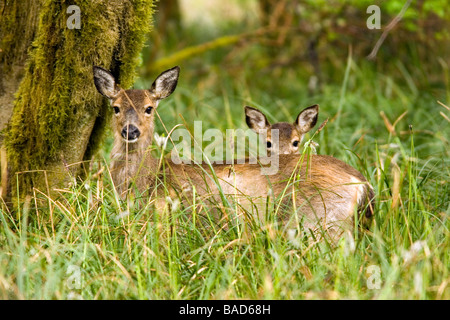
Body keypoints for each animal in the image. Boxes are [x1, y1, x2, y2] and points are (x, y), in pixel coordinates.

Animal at [93, 66, 374, 241]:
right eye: (116, 108)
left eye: (149, 108)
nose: (130, 131)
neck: (147, 178)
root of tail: (362, 183)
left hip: (319, 220)